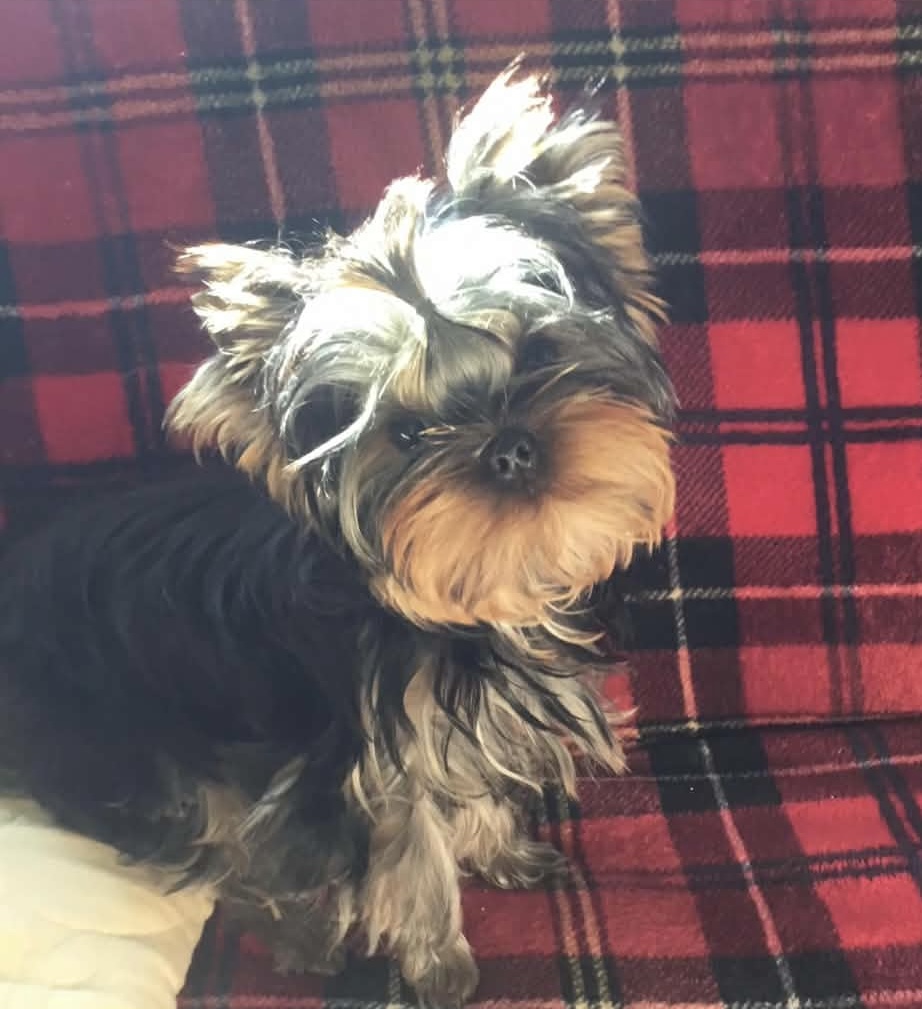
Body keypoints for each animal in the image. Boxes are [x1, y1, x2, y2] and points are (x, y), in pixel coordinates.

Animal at [0, 66, 675, 1005]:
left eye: (539, 354)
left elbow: (471, 788)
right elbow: (410, 849)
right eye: (407, 435)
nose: (509, 444)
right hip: (133, 737)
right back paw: (301, 932)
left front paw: (501, 850)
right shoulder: (372, 749)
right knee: (221, 846)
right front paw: (440, 963)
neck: (478, 611)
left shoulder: (449, 719)